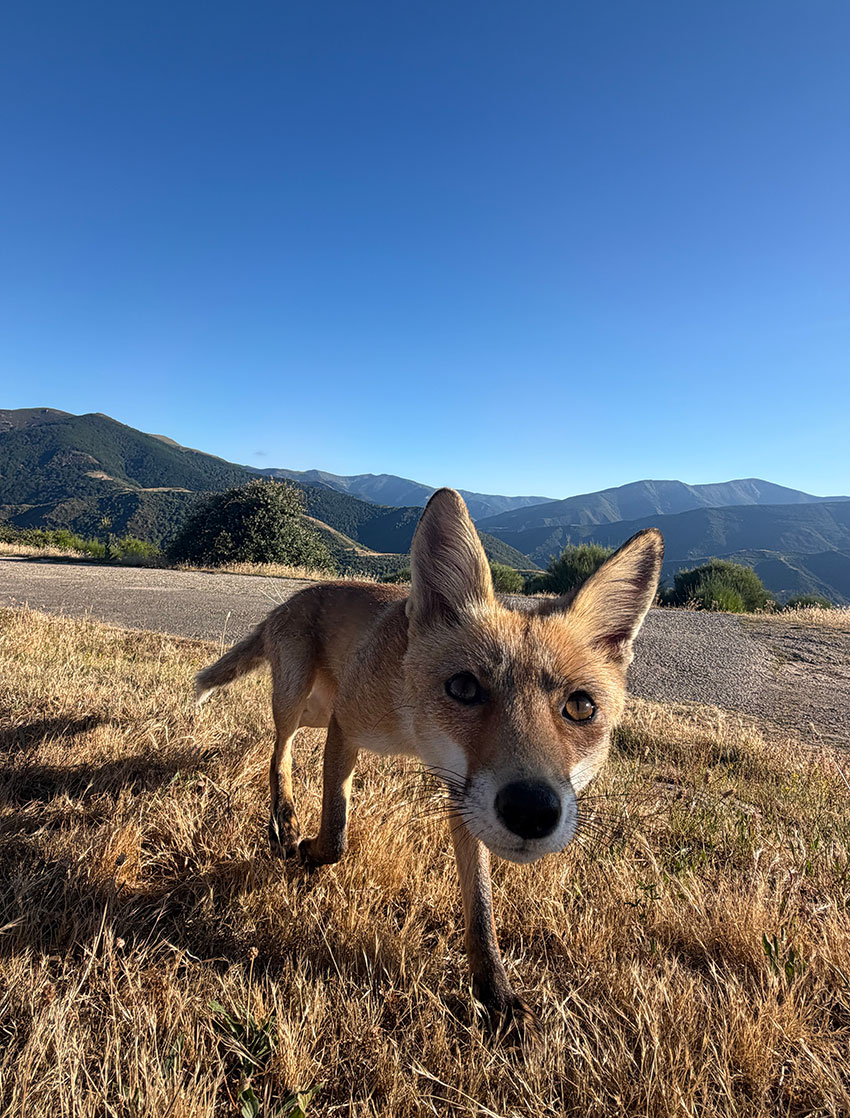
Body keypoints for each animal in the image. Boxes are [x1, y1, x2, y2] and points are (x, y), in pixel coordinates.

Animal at [195, 487, 663, 1037]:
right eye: (463, 687)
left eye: (581, 707)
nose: (531, 811)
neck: (411, 730)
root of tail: (291, 599)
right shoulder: (348, 725)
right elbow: (336, 834)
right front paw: (309, 852)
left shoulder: (462, 795)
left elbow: (479, 907)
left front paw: (494, 992)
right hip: (297, 698)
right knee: (279, 751)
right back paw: (284, 819)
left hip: (316, 709)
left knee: (280, 740)